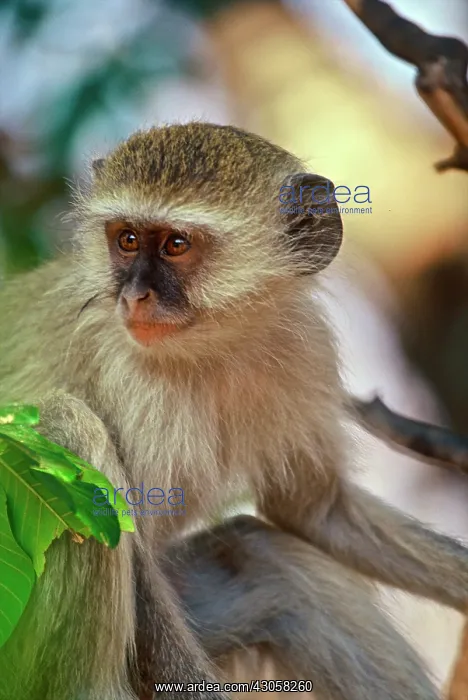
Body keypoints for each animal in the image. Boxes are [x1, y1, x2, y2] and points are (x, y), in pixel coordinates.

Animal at [0, 121, 466, 699]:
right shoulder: (121, 372)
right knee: (68, 425)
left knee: (264, 557)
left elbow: (313, 511)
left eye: (176, 245)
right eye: (127, 239)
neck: (210, 349)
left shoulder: (305, 351)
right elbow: (138, 559)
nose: (133, 296)